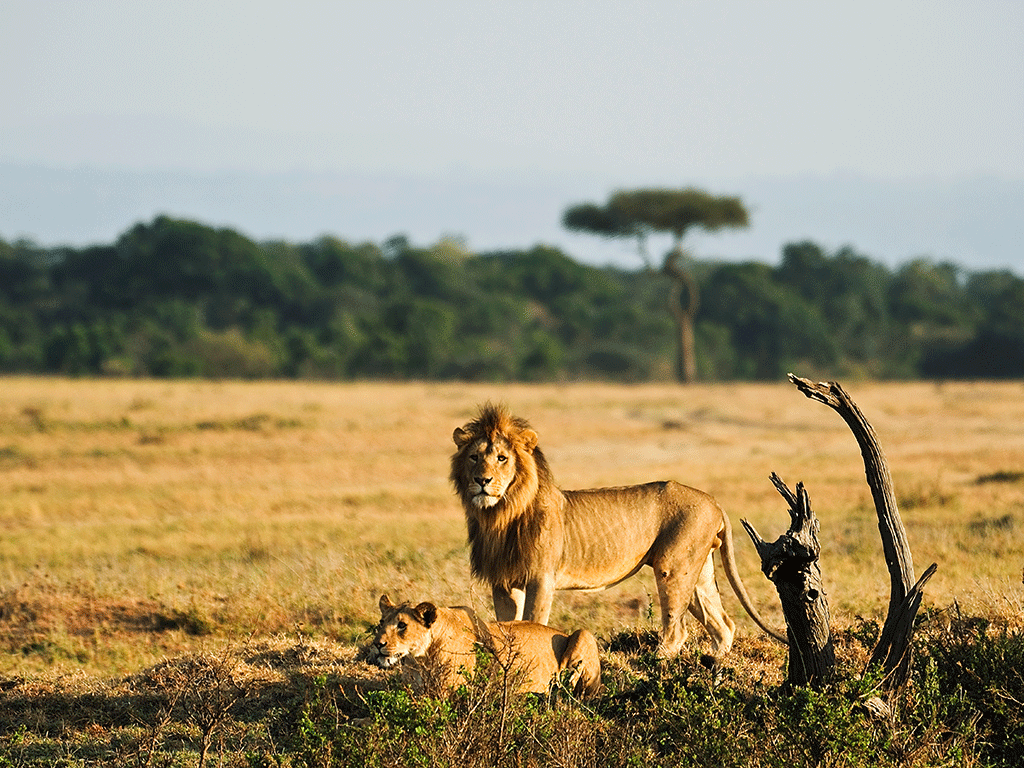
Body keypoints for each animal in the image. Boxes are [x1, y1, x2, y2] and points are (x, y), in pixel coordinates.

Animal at [368, 593, 598, 696]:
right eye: (381, 623)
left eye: (402, 625)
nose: (378, 644)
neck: (421, 659)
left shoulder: (446, 695)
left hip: (583, 634)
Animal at [448, 405, 782, 659]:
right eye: (474, 457)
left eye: (502, 458)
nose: (482, 480)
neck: (499, 515)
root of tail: (713, 501)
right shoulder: (503, 581)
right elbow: (506, 624)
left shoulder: (541, 578)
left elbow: (534, 621)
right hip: (698, 572)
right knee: (723, 624)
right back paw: (715, 666)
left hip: (673, 567)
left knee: (677, 629)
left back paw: (657, 662)